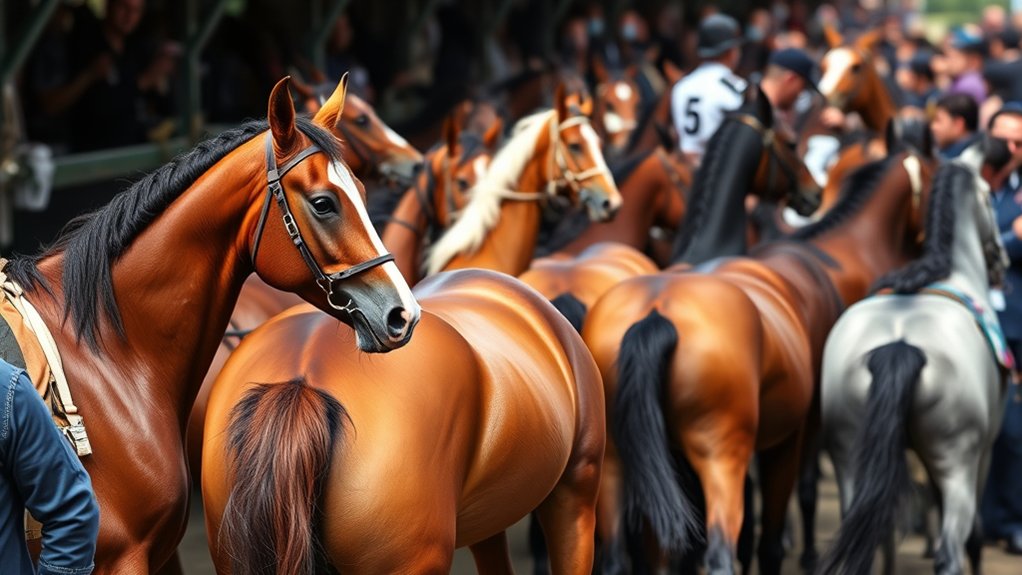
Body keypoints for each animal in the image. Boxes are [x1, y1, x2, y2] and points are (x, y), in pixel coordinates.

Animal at [0, 75, 418, 573]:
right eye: (323, 204)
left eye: (359, 191)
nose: (403, 314)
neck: (98, 358)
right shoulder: (124, 557)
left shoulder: (159, 551)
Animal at [581, 126, 937, 575]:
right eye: (788, 142)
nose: (811, 192)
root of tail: (655, 315)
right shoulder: (797, 431)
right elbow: (782, 520)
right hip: (721, 456)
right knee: (721, 548)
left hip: (615, 463)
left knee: (619, 556)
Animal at [818, 161, 1010, 575]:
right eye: (989, 196)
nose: (1002, 258)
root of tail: (898, 344)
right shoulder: (984, 453)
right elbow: (974, 537)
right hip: (956, 465)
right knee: (951, 551)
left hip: (849, 457)